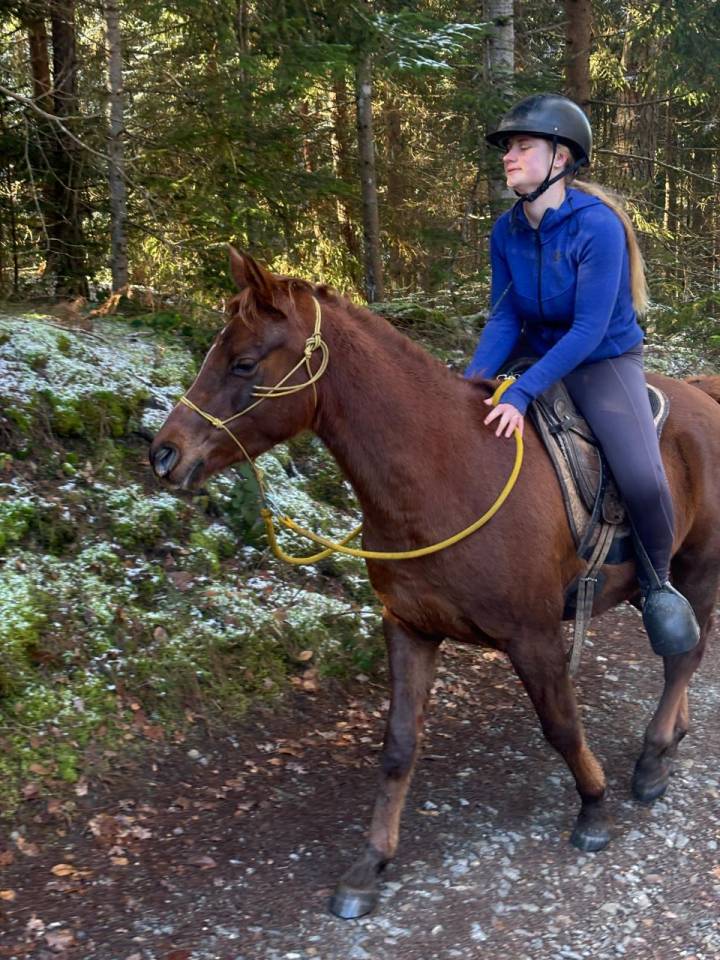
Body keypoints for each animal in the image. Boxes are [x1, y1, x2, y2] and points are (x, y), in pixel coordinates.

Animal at [150, 249, 720, 919]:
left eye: (243, 362)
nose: (164, 453)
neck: (442, 472)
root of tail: (703, 395)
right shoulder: (410, 629)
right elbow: (398, 745)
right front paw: (369, 864)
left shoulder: (533, 636)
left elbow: (560, 725)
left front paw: (593, 808)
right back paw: (672, 737)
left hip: (698, 569)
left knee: (685, 655)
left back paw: (653, 758)